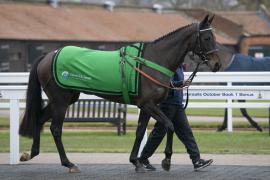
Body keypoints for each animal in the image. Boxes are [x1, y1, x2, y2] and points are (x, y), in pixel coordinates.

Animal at [18, 14, 219, 173]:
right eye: (207, 37)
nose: (217, 64)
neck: (154, 60)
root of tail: (48, 55)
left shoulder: (146, 106)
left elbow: (140, 132)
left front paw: (136, 162)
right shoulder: (148, 104)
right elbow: (169, 125)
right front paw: (166, 160)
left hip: (65, 99)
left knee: (39, 119)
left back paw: (31, 154)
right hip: (60, 100)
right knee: (55, 129)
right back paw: (69, 163)